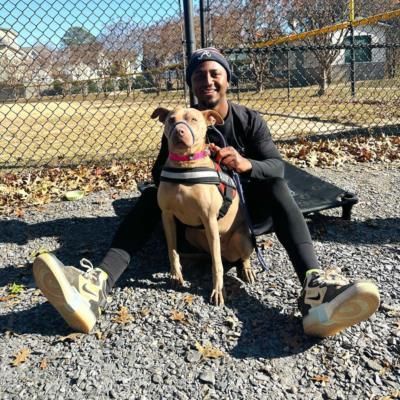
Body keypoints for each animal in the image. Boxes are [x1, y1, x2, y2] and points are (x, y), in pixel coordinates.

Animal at [152, 106, 255, 306]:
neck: (185, 165)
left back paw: (246, 269)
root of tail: (228, 255)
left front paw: (218, 290)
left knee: (239, 257)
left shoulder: (210, 219)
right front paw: (176, 274)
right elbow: (172, 249)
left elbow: (217, 265)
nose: (179, 131)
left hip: (241, 237)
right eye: (171, 119)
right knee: (209, 254)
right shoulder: (166, 215)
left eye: (194, 119)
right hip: (191, 233)